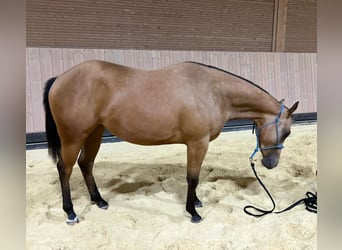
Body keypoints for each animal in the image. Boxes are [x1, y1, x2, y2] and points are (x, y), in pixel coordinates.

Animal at [42, 60, 298, 225]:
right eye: (286, 132)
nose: (271, 164)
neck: (213, 91)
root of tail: (60, 79)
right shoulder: (197, 143)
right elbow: (192, 177)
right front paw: (193, 212)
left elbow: (195, 177)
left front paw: (196, 202)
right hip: (73, 137)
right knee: (65, 169)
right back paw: (70, 213)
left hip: (94, 133)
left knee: (86, 164)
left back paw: (99, 200)